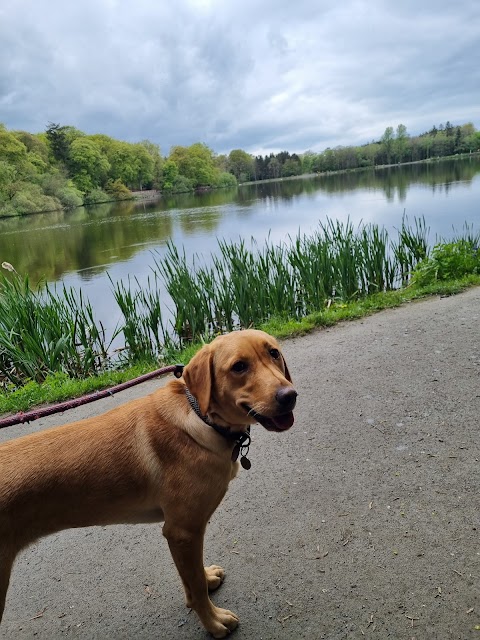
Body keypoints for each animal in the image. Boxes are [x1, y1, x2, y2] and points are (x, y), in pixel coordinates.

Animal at [0, 330, 296, 636]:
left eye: (273, 353)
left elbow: (193, 579)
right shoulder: (182, 531)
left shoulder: (187, 534)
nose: (289, 396)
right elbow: (196, 590)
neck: (201, 419)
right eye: (239, 366)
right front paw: (213, 621)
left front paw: (205, 579)